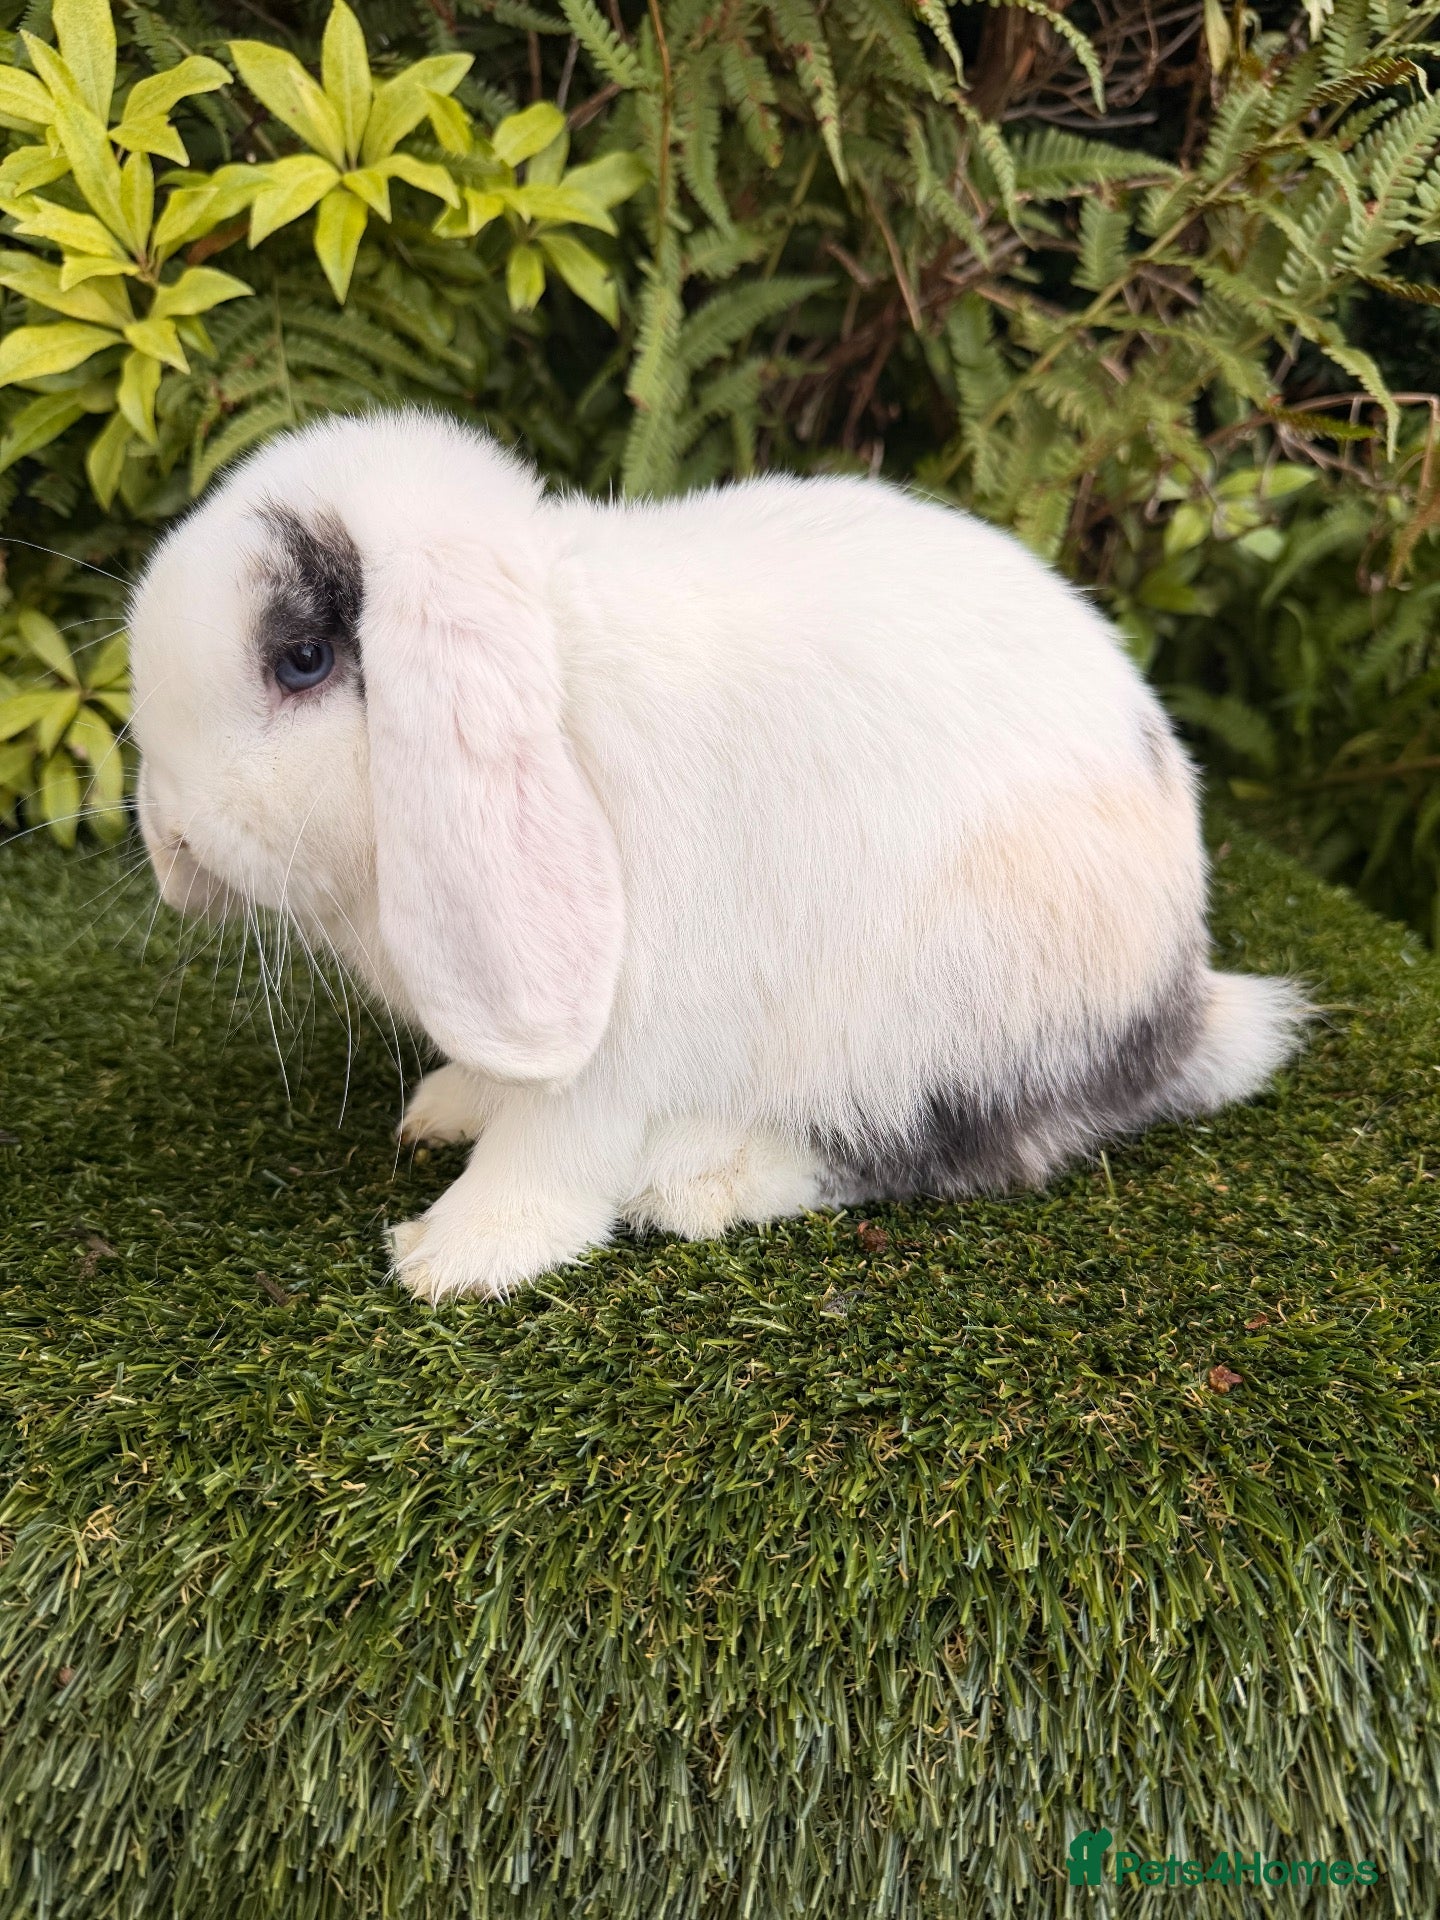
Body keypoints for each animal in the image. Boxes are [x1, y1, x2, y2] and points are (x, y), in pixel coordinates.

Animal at [129, 409, 1304, 1302]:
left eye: (302, 659)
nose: (167, 839)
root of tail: (1183, 1002)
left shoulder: (619, 1039)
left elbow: (549, 1150)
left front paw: (453, 1258)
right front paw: (449, 1110)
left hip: (933, 1011)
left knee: (959, 1148)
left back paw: (698, 1179)